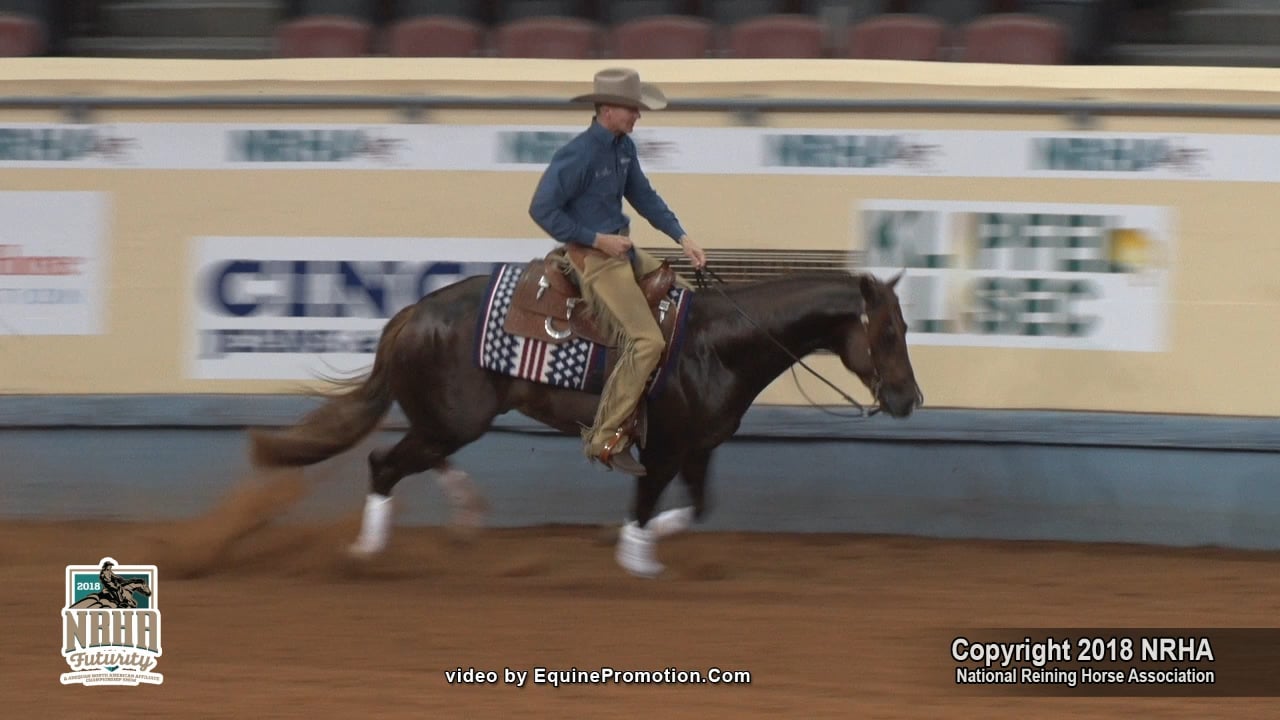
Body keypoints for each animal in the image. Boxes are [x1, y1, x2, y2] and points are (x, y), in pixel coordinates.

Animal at [247, 260, 921, 573]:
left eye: (906, 328)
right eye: (887, 332)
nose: (909, 400)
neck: (718, 342)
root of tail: (411, 314)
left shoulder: (699, 448)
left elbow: (697, 508)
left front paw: (623, 541)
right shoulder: (663, 449)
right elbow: (645, 503)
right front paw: (634, 555)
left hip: (444, 422)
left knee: (413, 459)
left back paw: (464, 516)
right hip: (451, 420)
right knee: (383, 464)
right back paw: (366, 551)